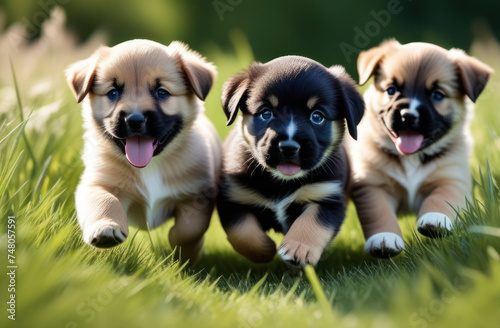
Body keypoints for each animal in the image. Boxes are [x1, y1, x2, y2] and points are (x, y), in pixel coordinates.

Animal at [66, 39, 221, 264]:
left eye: (162, 92)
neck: (151, 166)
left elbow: (189, 229)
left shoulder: (196, 195)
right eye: (113, 93)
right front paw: (106, 228)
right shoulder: (96, 183)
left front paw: (184, 252)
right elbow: (104, 202)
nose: (135, 120)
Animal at [216, 55, 364, 266]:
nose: (288, 146)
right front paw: (265, 250)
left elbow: (312, 222)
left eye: (317, 116)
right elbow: (244, 234)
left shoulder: (327, 196)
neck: (282, 182)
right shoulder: (234, 198)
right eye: (266, 113)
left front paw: (298, 249)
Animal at [350, 39, 494, 258]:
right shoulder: (372, 186)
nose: (408, 116)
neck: (412, 157)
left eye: (437, 95)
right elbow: (379, 213)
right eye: (391, 90)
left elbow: (441, 199)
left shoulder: (451, 179)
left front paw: (436, 220)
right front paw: (383, 240)